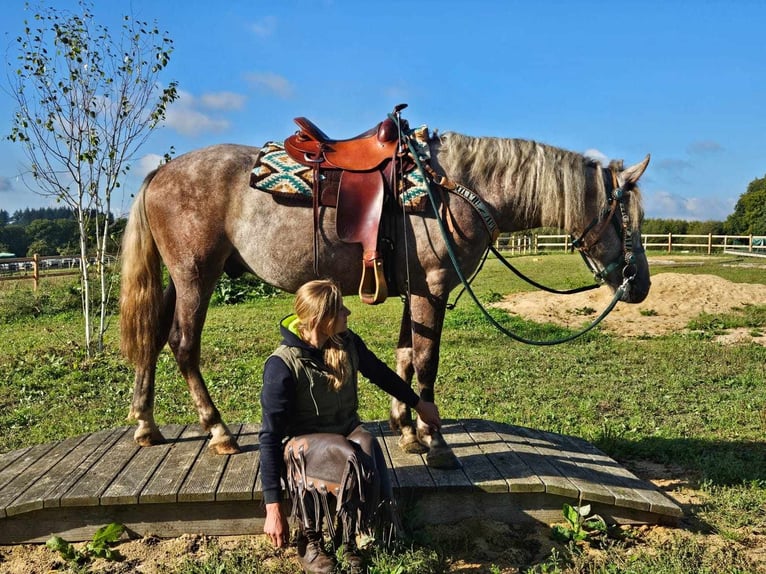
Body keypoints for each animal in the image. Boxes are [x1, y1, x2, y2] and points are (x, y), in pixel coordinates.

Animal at [121, 125, 656, 468]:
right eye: (628, 218)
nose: (640, 285)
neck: (454, 190)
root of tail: (161, 173)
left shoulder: (415, 290)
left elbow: (403, 355)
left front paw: (405, 427)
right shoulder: (432, 288)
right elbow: (425, 360)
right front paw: (434, 440)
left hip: (179, 278)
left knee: (152, 338)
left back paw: (146, 425)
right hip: (197, 274)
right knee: (183, 344)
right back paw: (218, 432)